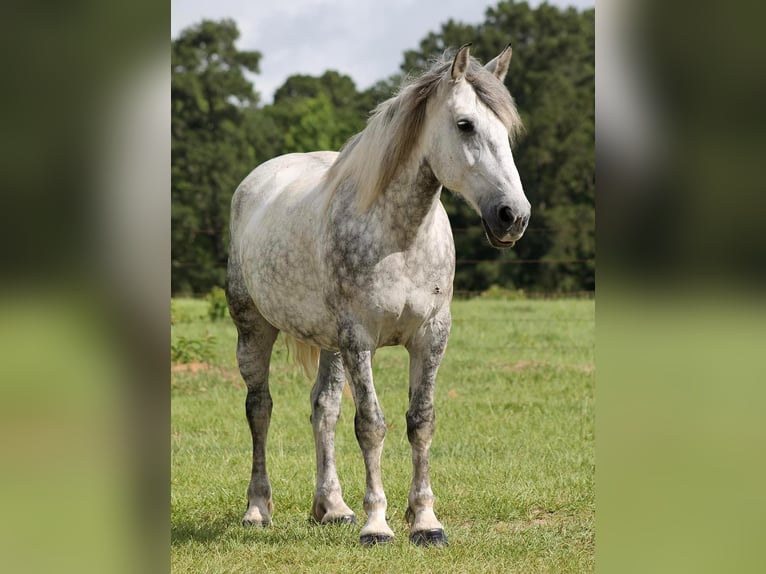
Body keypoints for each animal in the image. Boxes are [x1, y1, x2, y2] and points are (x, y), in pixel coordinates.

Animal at [225, 45, 532, 548]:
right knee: (259, 410)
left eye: (506, 131)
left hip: (328, 343)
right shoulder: (359, 339)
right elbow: (370, 426)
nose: (513, 216)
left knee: (323, 409)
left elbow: (420, 422)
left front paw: (425, 521)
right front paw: (377, 525)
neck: (400, 239)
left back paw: (332, 508)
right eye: (465, 124)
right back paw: (256, 509)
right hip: (254, 329)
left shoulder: (431, 336)